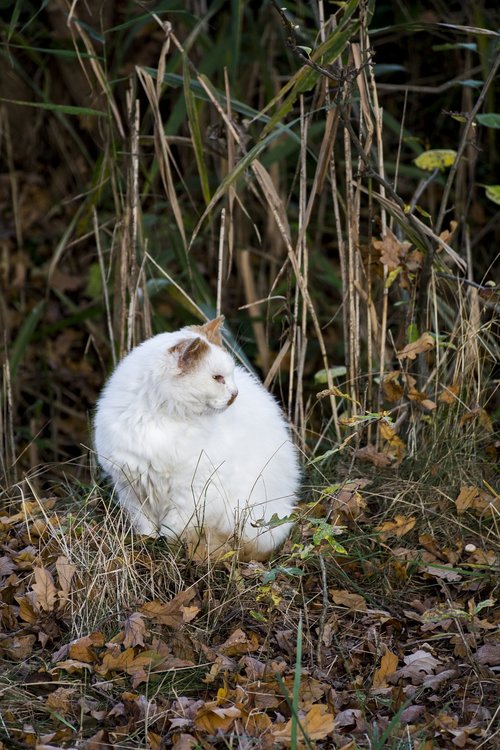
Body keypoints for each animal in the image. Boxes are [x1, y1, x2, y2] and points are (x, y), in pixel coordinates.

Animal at [92, 314, 298, 560]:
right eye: (218, 378)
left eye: (230, 376)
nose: (235, 394)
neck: (159, 419)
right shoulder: (130, 488)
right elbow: (145, 525)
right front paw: (148, 543)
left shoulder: (190, 492)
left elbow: (173, 530)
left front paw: (168, 552)